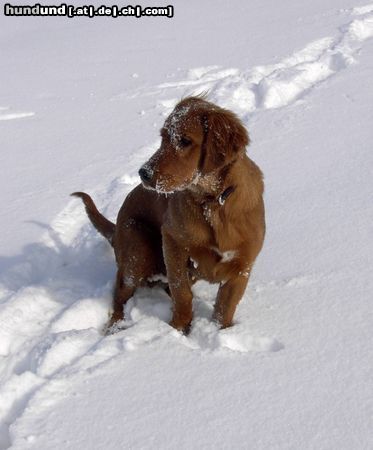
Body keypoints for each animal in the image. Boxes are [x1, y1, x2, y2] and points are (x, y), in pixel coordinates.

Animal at [72, 96, 264, 334]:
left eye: (185, 141)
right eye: (163, 137)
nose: (143, 173)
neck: (213, 202)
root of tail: (115, 230)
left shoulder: (242, 266)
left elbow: (224, 309)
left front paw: (220, 331)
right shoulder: (173, 242)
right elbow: (181, 292)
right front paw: (177, 330)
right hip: (137, 249)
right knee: (121, 292)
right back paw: (115, 326)